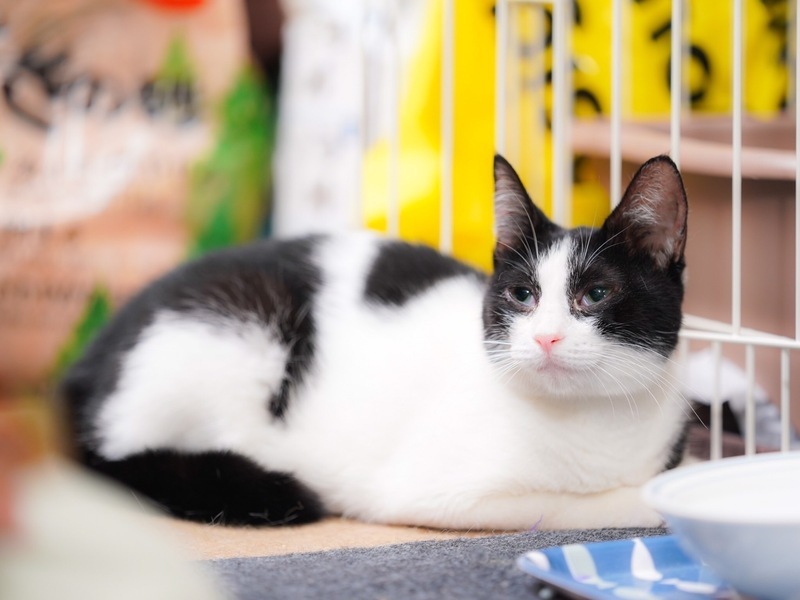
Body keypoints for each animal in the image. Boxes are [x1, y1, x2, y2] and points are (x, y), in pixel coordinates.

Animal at [59, 154, 690, 530]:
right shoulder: (432, 492)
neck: (591, 422)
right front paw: (648, 501)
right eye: (522, 295)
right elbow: (575, 506)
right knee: (112, 459)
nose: (546, 337)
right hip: (236, 329)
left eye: (596, 294)